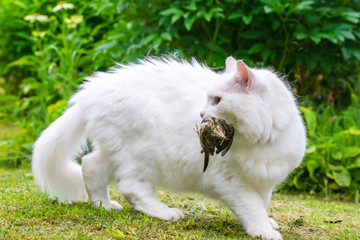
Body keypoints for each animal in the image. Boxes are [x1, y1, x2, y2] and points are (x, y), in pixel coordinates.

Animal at [32, 56, 306, 240]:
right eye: (209, 98)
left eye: (217, 100)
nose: (202, 114)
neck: (262, 139)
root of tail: (90, 93)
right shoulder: (231, 181)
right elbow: (252, 207)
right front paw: (264, 231)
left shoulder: (263, 182)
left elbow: (262, 203)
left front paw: (268, 223)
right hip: (146, 155)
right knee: (130, 187)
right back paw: (166, 213)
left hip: (114, 151)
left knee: (90, 166)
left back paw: (103, 205)